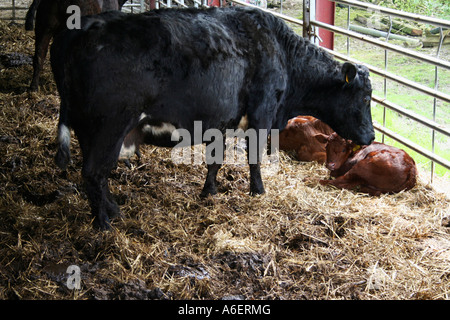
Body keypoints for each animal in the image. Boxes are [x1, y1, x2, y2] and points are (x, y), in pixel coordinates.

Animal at [51, 6, 376, 228]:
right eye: (365, 97)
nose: (371, 136)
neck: (280, 51)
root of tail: (86, 25)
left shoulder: (220, 121)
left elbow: (215, 160)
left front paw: (209, 192)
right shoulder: (261, 114)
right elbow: (254, 158)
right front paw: (258, 191)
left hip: (88, 130)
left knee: (96, 175)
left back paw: (113, 210)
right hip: (109, 127)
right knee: (94, 173)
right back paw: (104, 223)